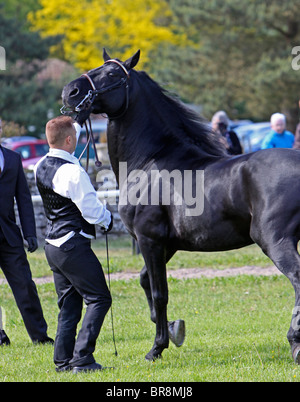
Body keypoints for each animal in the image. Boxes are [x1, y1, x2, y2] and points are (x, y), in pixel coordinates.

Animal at [62, 48, 300, 362]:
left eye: (112, 74)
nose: (70, 91)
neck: (150, 161)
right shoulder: (168, 244)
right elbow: (144, 281)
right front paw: (174, 329)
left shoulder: (150, 240)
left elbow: (160, 292)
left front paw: (157, 346)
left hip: (275, 240)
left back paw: (294, 340)